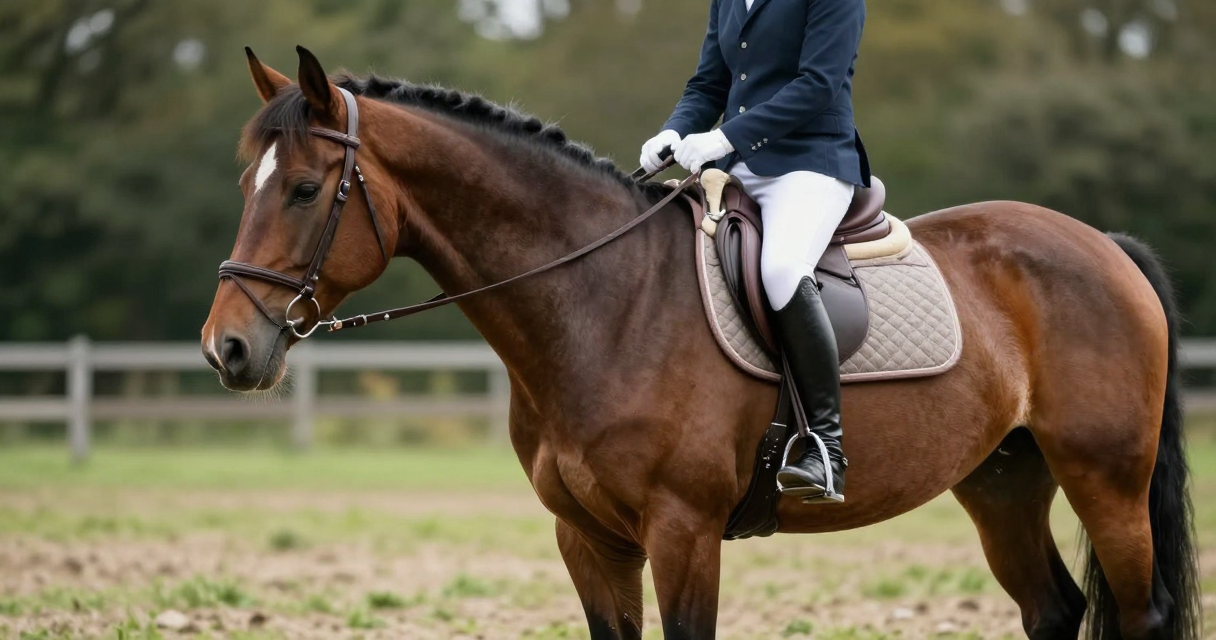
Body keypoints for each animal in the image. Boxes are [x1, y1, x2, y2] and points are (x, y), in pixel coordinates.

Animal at [201, 47, 1199, 640]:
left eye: (302, 189)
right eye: (246, 183)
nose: (227, 351)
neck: (602, 305)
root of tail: (1103, 245)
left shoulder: (684, 533)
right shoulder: (588, 540)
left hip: (1107, 480)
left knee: (1138, 614)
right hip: (1002, 479)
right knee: (1053, 609)